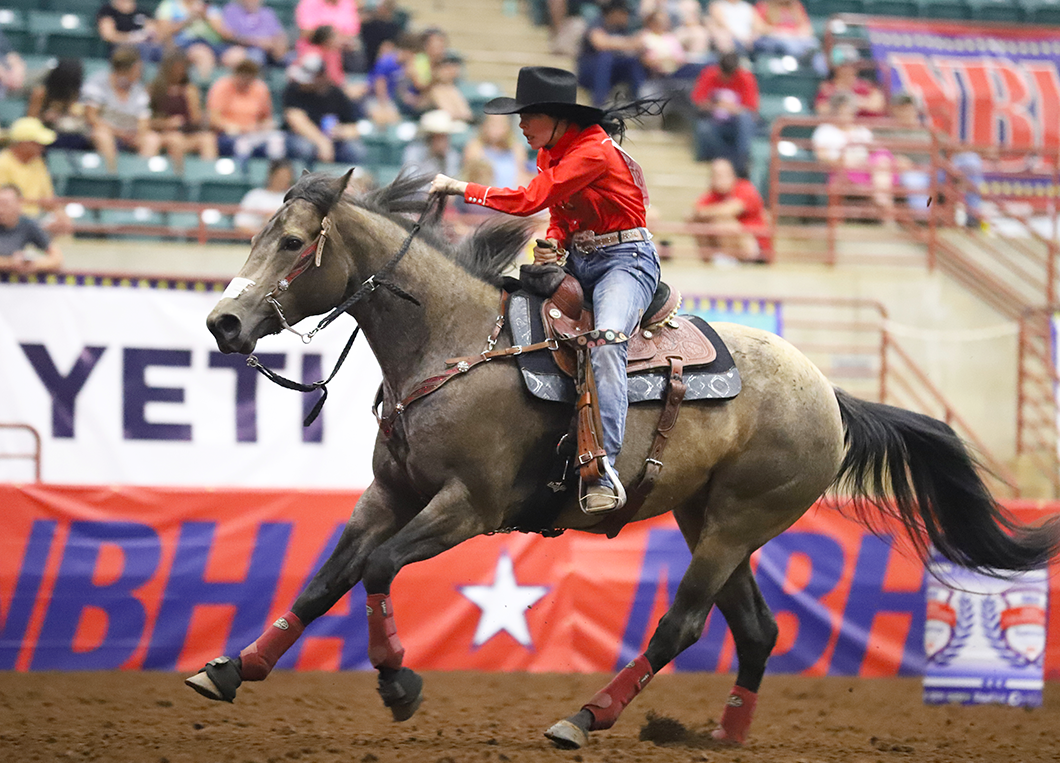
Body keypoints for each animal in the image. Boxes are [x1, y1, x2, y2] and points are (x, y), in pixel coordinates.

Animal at [192, 169, 1059, 749]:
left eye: (293, 243)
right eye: (256, 235)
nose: (223, 323)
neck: (454, 342)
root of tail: (831, 394)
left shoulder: (467, 507)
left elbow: (376, 569)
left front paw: (398, 680)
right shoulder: (387, 494)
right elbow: (325, 579)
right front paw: (233, 667)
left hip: (737, 522)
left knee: (682, 624)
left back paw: (585, 715)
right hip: (709, 519)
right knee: (758, 629)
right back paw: (724, 735)